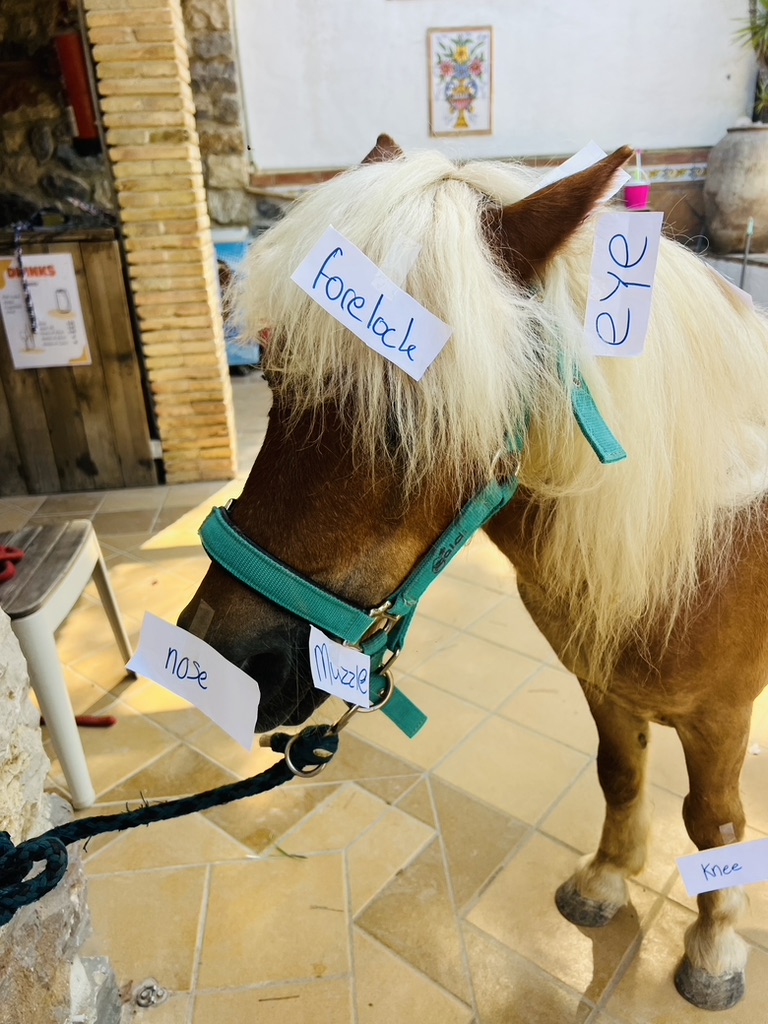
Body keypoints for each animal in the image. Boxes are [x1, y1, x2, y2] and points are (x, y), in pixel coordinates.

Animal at [178, 135, 768, 1012]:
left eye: (405, 423)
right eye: (278, 379)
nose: (216, 656)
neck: (697, 529)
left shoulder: (722, 715)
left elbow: (715, 822)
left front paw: (716, 944)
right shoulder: (603, 681)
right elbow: (620, 774)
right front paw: (608, 876)